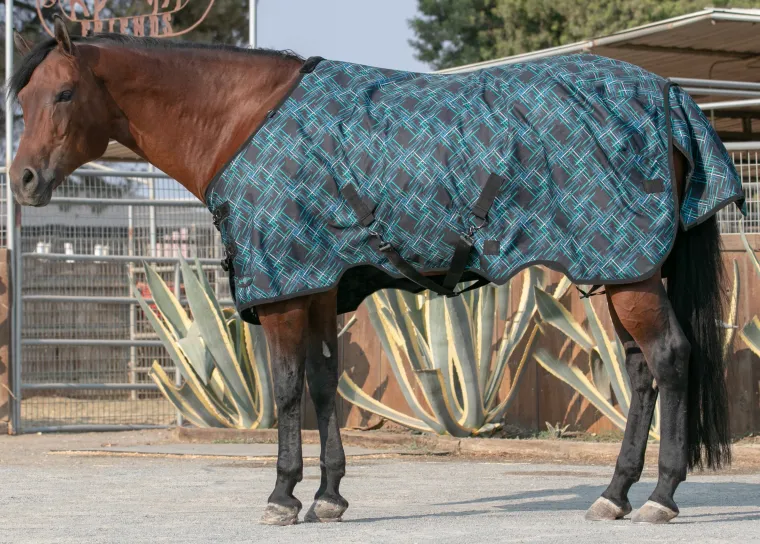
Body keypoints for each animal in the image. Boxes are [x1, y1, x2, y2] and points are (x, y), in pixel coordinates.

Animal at [8, 17, 744, 526]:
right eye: (24, 100)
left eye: (65, 93)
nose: (23, 181)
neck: (243, 121)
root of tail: (669, 95)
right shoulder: (318, 289)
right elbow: (325, 385)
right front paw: (330, 496)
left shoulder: (284, 292)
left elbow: (286, 391)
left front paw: (283, 496)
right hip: (621, 271)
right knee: (642, 371)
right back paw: (614, 495)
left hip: (629, 273)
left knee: (670, 358)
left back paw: (661, 497)